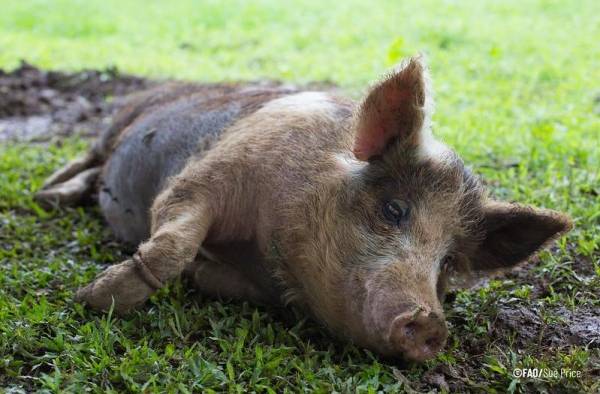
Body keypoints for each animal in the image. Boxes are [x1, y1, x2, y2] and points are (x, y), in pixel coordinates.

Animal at [35, 57, 568, 362]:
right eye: (394, 209)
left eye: (448, 262)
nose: (430, 324)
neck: (262, 247)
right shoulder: (202, 177)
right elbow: (171, 244)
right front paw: (90, 300)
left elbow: (198, 268)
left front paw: (195, 274)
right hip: (114, 125)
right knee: (87, 158)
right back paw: (48, 196)